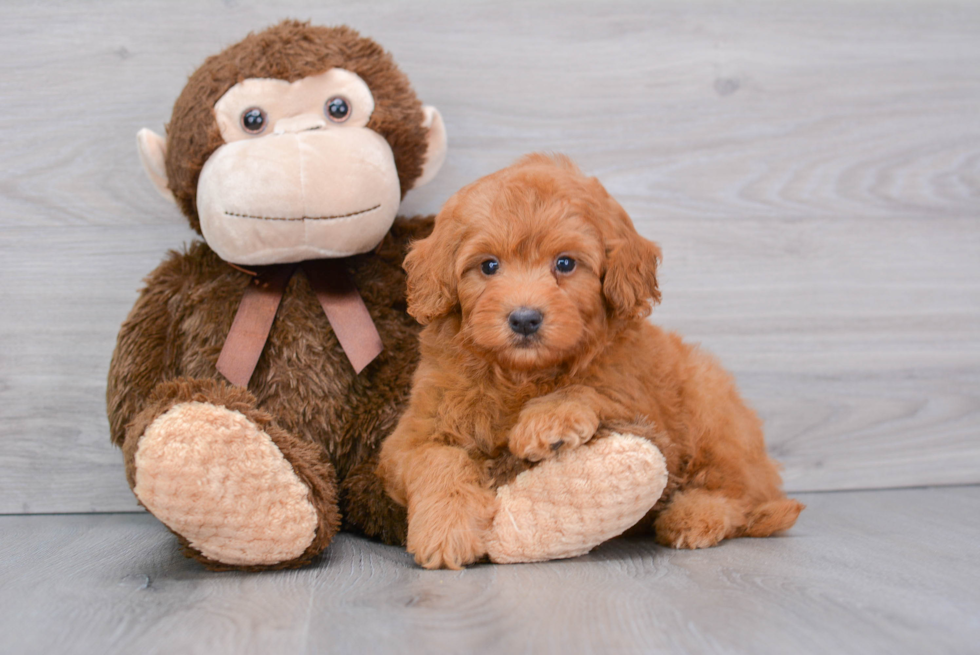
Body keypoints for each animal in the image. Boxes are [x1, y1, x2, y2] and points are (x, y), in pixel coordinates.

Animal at [378, 154, 800, 568]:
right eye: (489, 266)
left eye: (565, 264)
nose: (525, 318)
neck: (521, 374)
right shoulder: (413, 434)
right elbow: (438, 461)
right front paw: (445, 531)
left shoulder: (644, 410)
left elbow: (593, 388)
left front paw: (548, 421)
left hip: (710, 405)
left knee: (735, 494)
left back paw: (695, 516)